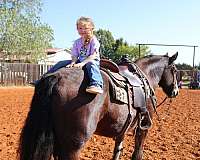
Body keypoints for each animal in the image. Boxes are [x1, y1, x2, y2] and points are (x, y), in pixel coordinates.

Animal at [18, 52, 178, 159]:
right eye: (175, 70)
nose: (175, 91)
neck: (145, 76)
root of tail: (56, 77)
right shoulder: (143, 127)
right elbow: (138, 152)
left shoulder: (122, 129)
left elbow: (118, 150)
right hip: (73, 145)